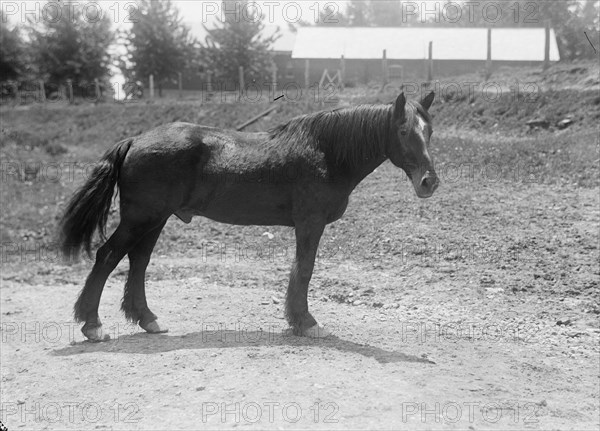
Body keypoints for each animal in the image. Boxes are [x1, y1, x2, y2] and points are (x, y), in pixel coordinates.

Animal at [58, 93, 438, 342]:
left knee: (138, 262)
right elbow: (305, 269)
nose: (429, 181)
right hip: (140, 218)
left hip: (155, 220)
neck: (326, 152)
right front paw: (305, 322)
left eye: (429, 130)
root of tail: (135, 140)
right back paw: (93, 325)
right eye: (403, 131)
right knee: (108, 256)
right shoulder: (310, 223)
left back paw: (148, 320)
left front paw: (297, 320)